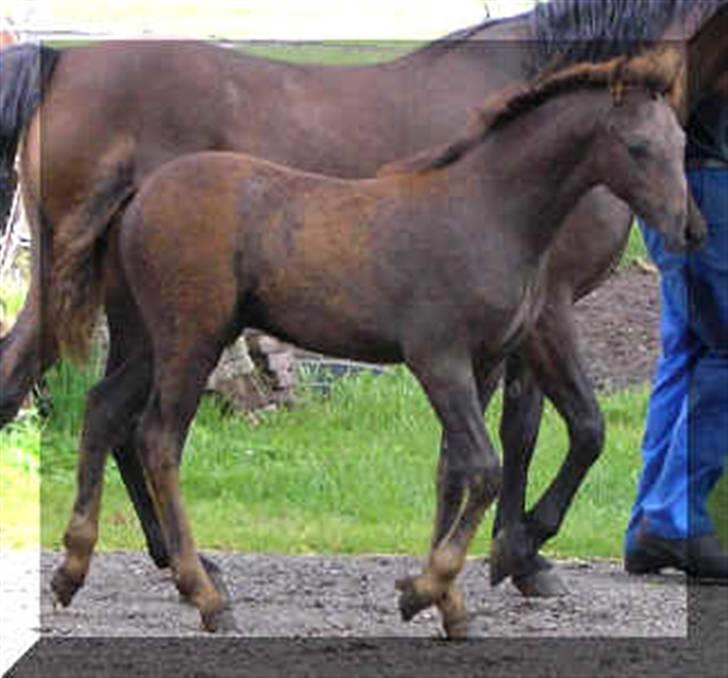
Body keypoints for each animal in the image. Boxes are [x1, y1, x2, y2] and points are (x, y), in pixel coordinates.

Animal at [1, 0, 726, 597]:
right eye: (640, 145)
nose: (696, 227)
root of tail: (60, 61)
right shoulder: (550, 308)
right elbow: (580, 427)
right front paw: (520, 551)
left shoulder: (512, 329)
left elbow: (517, 433)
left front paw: (507, 559)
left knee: (109, 413)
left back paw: (171, 559)